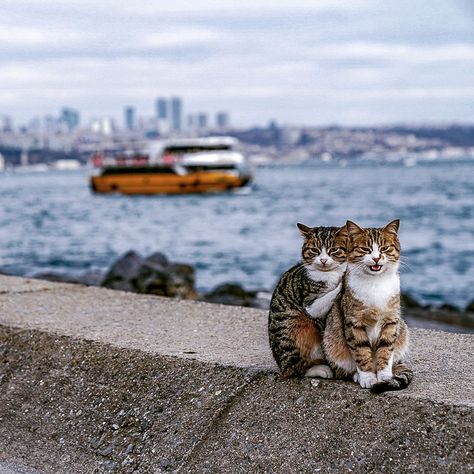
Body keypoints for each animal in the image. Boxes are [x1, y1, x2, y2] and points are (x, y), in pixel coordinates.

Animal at [268, 225, 350, 378]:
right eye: (314, 250)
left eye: (333, 250)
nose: (323, 260)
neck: (329, 274)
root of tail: (281, 366)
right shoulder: (309, 303)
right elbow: (329, 294)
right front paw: (342, 280)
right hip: (292, 330)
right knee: (295, 369)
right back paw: (320, 369)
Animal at [324, 220, 412, 390]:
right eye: (366, 249)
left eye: (384, 248)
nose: (376, 258)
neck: (375, 282)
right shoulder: (354, 323)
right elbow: (361, 352)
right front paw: (368, 378)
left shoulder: (391, 321)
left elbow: (385, 351)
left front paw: (385, 377)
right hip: (331, 342)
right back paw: (356, 375)